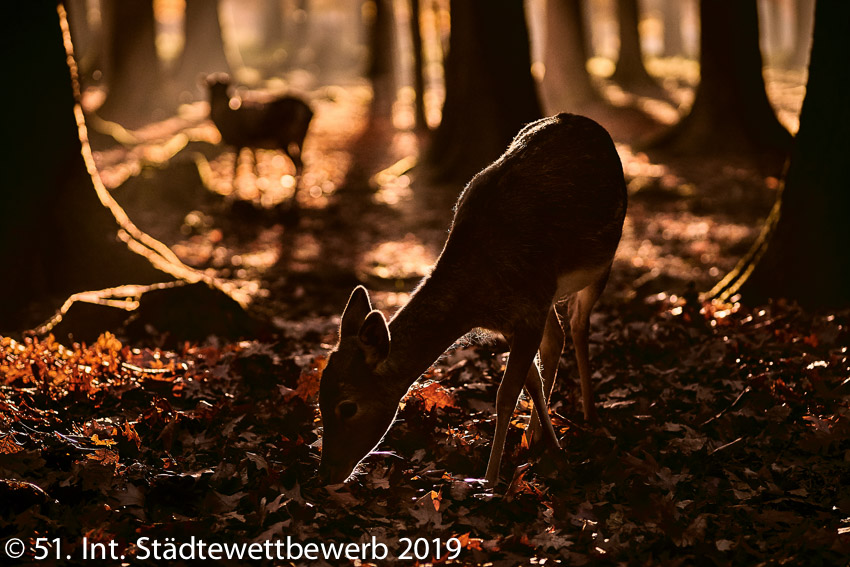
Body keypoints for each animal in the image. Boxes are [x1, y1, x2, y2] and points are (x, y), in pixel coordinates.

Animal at [314, 113, 628, 486]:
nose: (325, 473)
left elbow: (506, 394)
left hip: (604, 261)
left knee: (579, 324)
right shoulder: (518, 316)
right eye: (319, 400)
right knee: (557, 338)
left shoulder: (529, 309)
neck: (479, 296)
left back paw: (590, 415)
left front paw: (489, 480)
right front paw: (546, 449)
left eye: (347, 406)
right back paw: (537, 436)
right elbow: (531, 381)